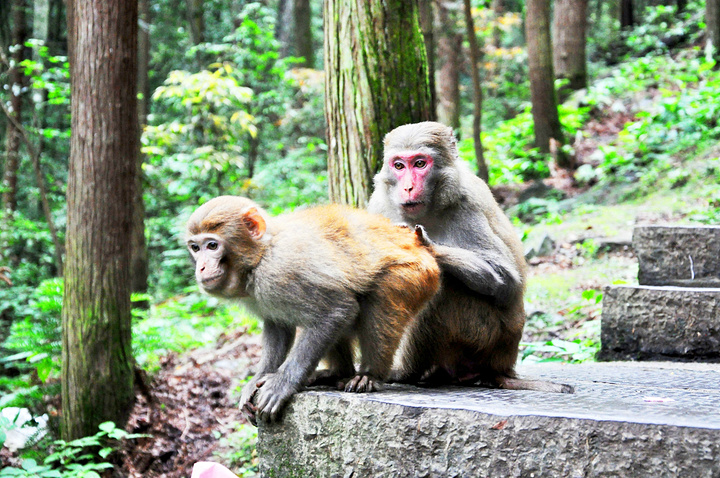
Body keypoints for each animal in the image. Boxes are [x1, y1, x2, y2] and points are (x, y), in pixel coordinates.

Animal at [186, 196, 442, 424]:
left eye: (212, 245)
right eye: (195, 248)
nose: (201, 267)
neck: (260, 256)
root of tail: (422, 248)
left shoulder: (282, 273)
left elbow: (336, 310)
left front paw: (282, 383)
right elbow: (279, 326)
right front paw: (257, 379)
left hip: (414, 275)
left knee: (378, 299)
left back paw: (369, 375)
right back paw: (337, 372)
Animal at [372, 121, 572, 394]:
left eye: (420, 164)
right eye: (399, 166)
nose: (408, 187)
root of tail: (503, 365)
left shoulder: (467, 205)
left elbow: (507, 281)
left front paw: (425, 245)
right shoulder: (378, 205)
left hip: (483, 336)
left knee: (443, 287)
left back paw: (405, 372)